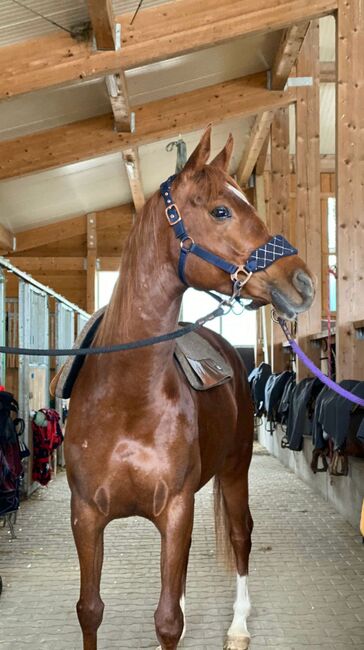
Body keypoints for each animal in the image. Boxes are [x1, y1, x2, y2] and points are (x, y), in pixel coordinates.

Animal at [66, 128, 316, 648]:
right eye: (221, 211)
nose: (303, 282)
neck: (126, 399)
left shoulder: (175, 509)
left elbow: (167, 622)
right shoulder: (86, 517)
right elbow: (90, 610)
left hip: (235, 471)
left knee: (241, 535)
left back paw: (238, 625)